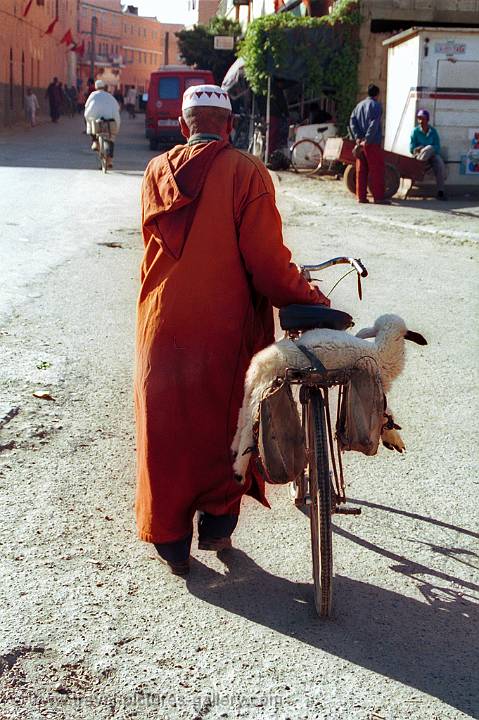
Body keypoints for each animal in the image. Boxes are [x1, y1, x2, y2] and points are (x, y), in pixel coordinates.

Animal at [232, 312, 428, 480]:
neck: (380, 351)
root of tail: (262, 362)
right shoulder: (379, 385)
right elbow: (387, 412)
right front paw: (394, 438)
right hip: (264, 387)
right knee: (249, 427)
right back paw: (239, 470)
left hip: (252, 387)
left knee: (242, 416)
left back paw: (234, 448)